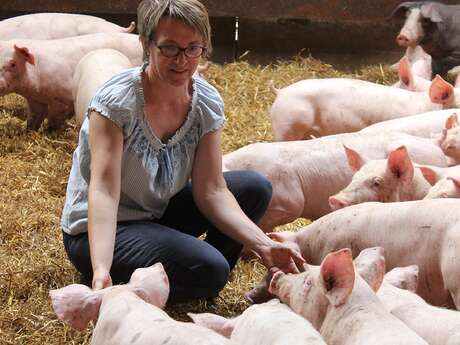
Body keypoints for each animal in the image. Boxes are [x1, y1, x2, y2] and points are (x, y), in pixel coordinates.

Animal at [0, 32, 142, 130]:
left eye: (13, 64)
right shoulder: (35, 100)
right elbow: (34, 117)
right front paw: (27, 130)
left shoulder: (63, 99)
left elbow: (55, 118)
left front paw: (51, 131)